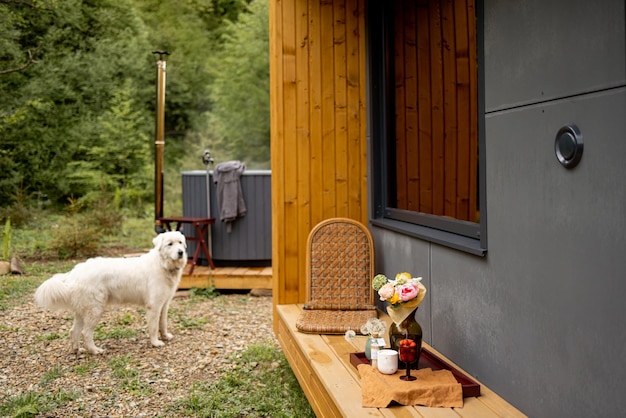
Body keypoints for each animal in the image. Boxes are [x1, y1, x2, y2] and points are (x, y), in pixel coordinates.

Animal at [34, 230, 185, 354]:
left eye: (180, 243)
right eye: (170, 244)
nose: (181, 252)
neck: (162, 264)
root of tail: (75, 272)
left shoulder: (164, 304)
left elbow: (163, 323)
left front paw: (165, 336)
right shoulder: (153, 306)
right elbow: (153, 327)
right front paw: (155, 342)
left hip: (83, 311)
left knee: (74, 331)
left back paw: (77, 350)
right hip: (95, 310)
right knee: (85, 333)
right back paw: (95, 350)